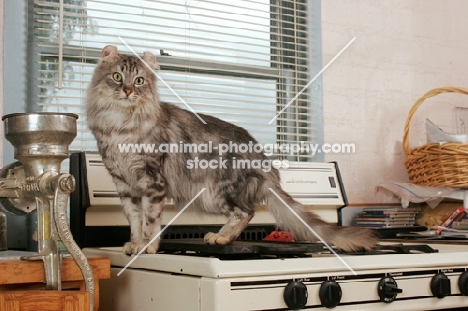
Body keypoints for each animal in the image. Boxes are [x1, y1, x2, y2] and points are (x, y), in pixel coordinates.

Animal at [88, 45, 380, 256]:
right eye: (117, 77)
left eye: (139, 80)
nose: (127, 90)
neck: (120, 126)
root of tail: (267, 167)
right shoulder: (124, 184)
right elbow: (135, 221)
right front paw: (134, 243)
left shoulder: (152, 180)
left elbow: (150, 221)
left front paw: (147, 247)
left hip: (213, 192)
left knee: (245, 212)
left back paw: (220, 236)